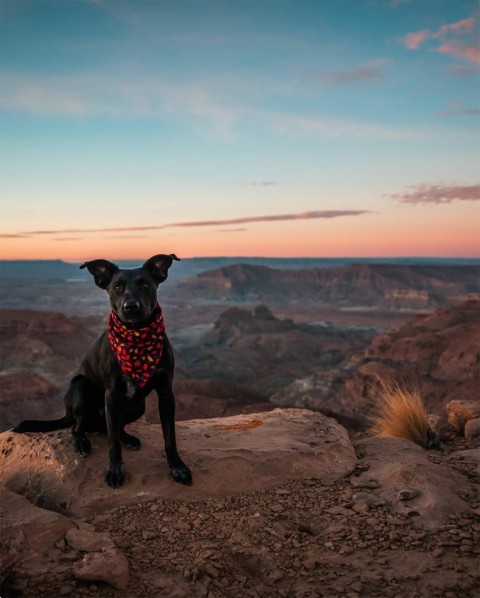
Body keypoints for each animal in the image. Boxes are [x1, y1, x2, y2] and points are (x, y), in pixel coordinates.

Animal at [12, 255, 191, 490]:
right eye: (117, 287)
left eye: (145, 285)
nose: (130, 307)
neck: (136, 338)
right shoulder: (112, 395)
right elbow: (112, 445)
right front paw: (115, 471)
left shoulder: (166, 394)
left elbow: (170, 437)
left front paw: (177, 467)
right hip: (81, 390)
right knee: (78, 427)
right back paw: (81, 442)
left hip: (138, 405)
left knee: (111, 429)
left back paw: (127, 437)